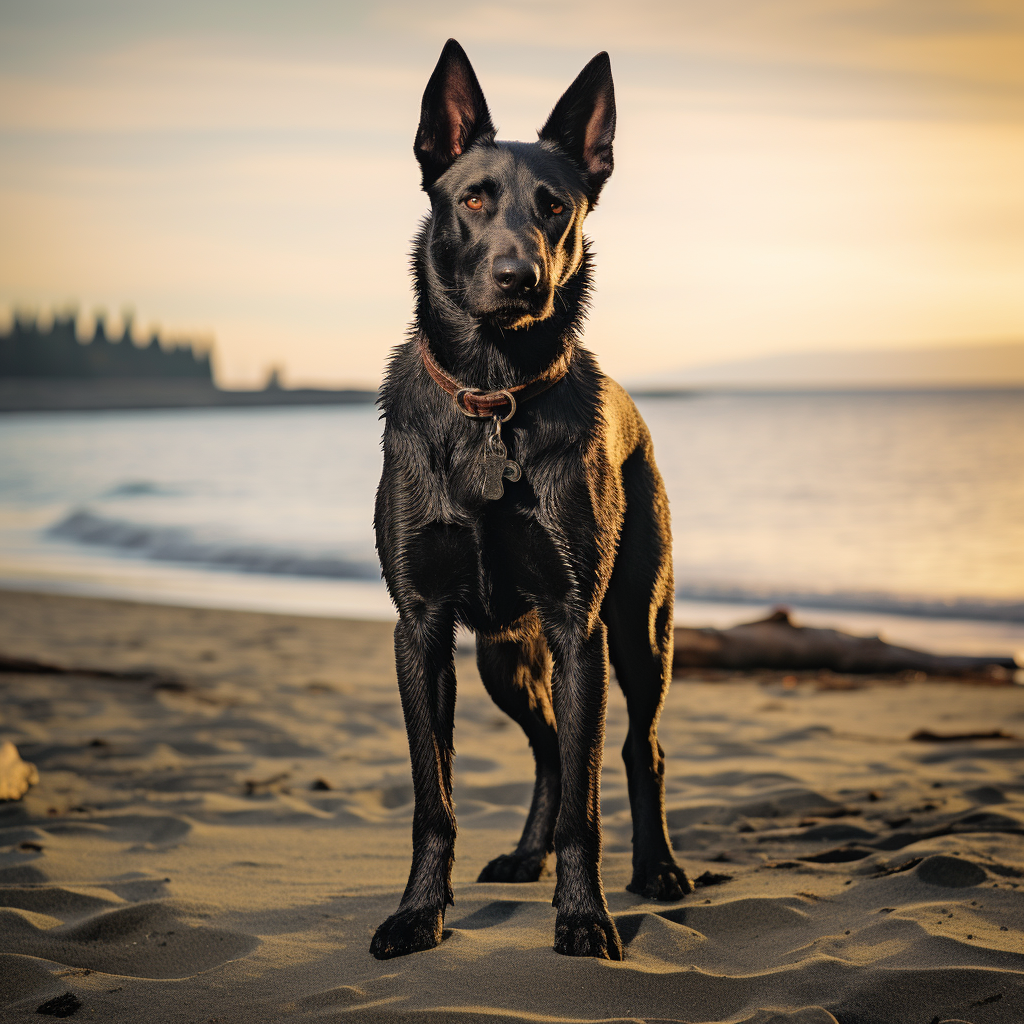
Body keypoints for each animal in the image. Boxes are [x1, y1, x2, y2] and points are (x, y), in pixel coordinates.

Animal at [368, 36, 688, 958]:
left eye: (554, 207)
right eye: (473, 198)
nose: (520, 278)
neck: (493, 394)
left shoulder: (579, 630)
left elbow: (588, 798)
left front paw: (583, 914)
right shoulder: (423, 631)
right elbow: (433, 800)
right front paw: (419, 913)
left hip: (638, 633)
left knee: (637, 751)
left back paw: (655, 869)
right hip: (501, 658)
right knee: (548, 748)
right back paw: (524, 854)